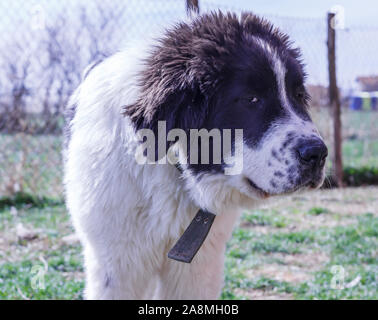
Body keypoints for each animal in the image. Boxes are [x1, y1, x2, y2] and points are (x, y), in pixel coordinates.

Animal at [62, 10, 328, 300]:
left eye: (298, 95)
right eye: (251, 99)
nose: (318, 153)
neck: (169, 167)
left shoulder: (197, 266)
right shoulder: (117, 261)